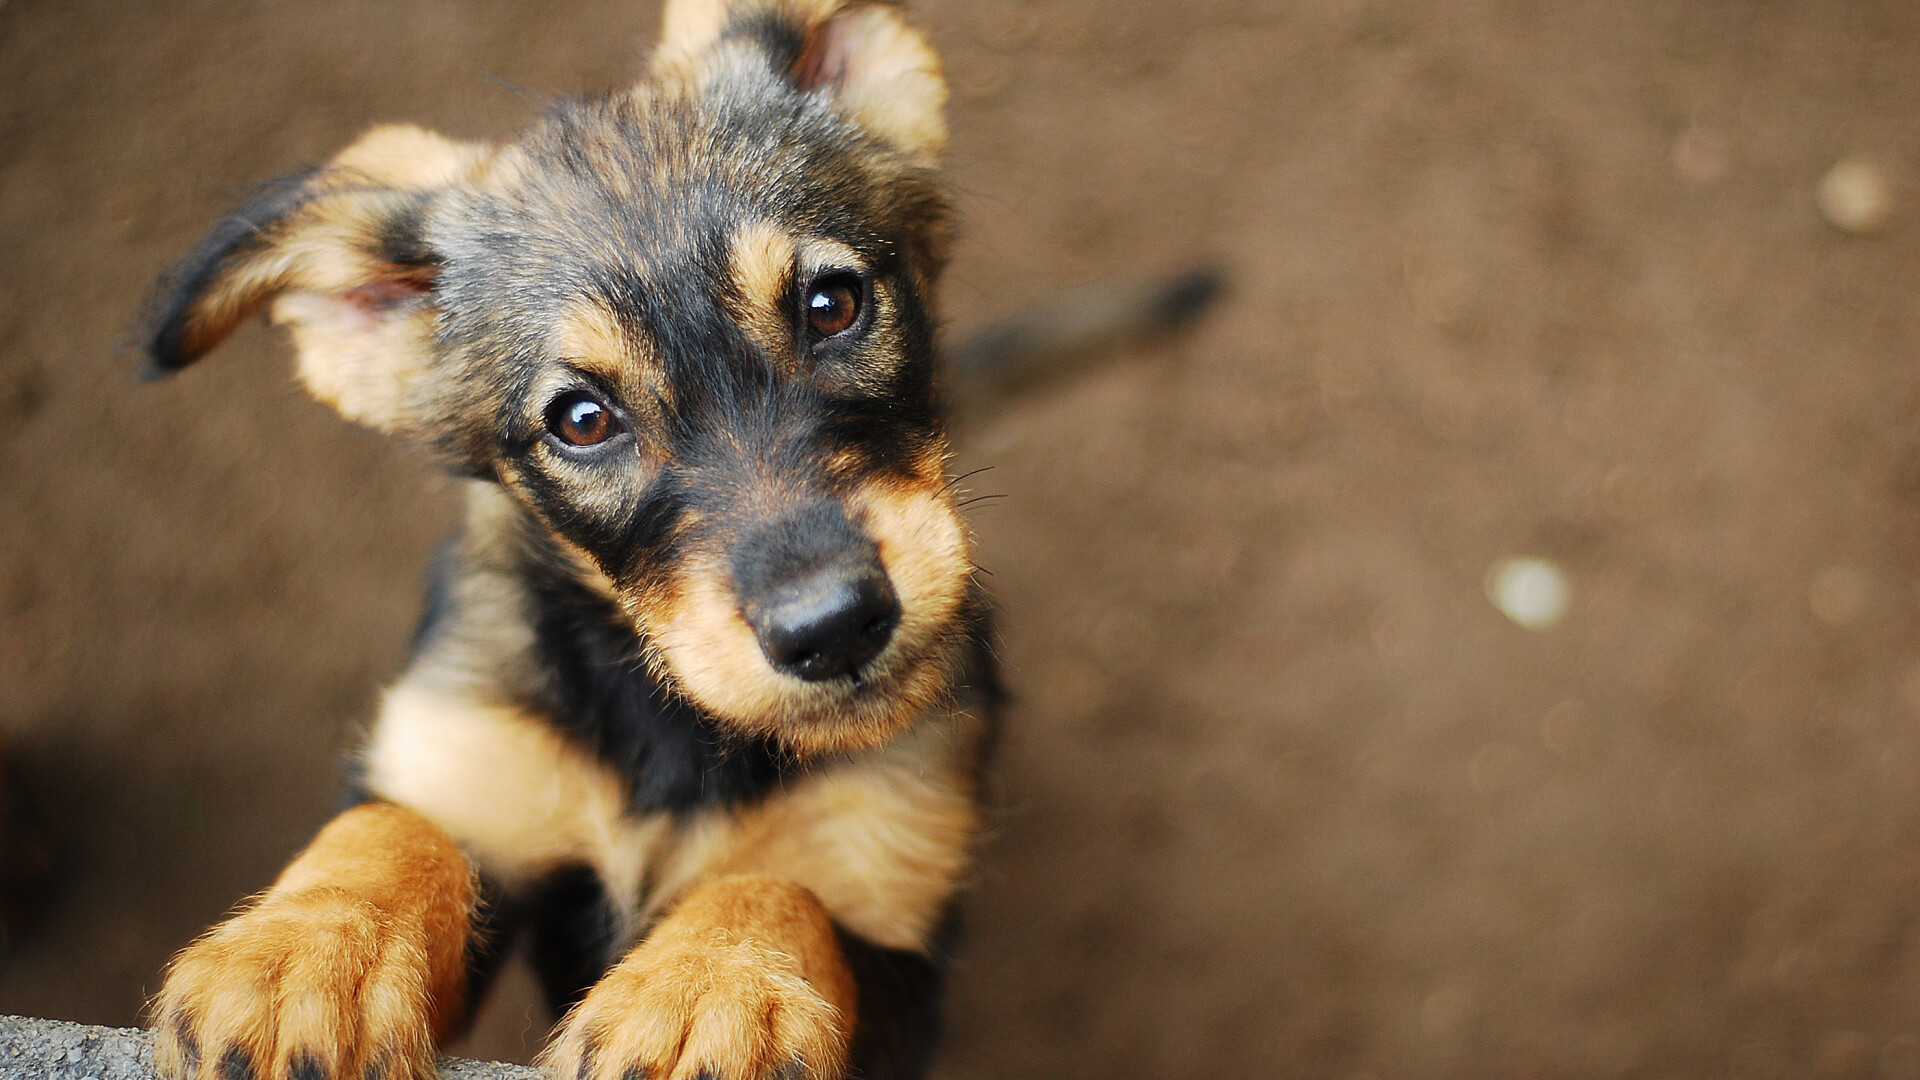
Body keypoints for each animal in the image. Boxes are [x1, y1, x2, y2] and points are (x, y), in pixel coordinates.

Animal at [139, 2, 990, 1076]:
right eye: (581, 421)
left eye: (832, 305)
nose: (833, 627)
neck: (671, 731)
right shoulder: (471, 764)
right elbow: (392, 824)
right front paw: (301, 954)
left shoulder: (895, 926)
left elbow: (775, 889)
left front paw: (703, 992)